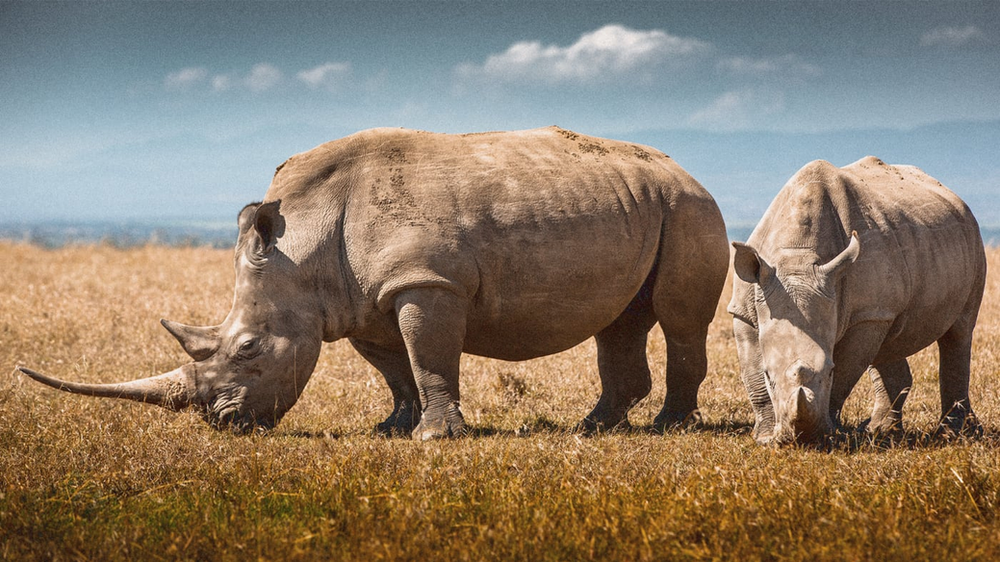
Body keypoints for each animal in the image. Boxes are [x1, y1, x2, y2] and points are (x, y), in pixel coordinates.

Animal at [17, 126, 729, 439]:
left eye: (247, 349)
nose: (223, 422)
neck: (301, 246)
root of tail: (688, 171)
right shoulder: (360, 300)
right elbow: (395, 367)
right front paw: (393, 426)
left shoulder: (426, 282)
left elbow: (431, 358)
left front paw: (434, 438)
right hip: (644, 203)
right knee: (621, 319)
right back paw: (595, 428)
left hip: (691, 210)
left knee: (679, 318)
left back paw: (668, 427)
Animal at [729, 156, 986, 445]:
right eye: (769, 375)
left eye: (828, 370)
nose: (802, 439)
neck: (796, 257)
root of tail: (953, 195)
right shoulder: (745, 307)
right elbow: (752, 375)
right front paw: (765, 436)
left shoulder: (865, 315)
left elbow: (844, 374)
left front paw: (829, 433)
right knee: (889, 341)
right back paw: (881, 431)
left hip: (971, 238)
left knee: (959, 332)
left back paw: (955, 434)